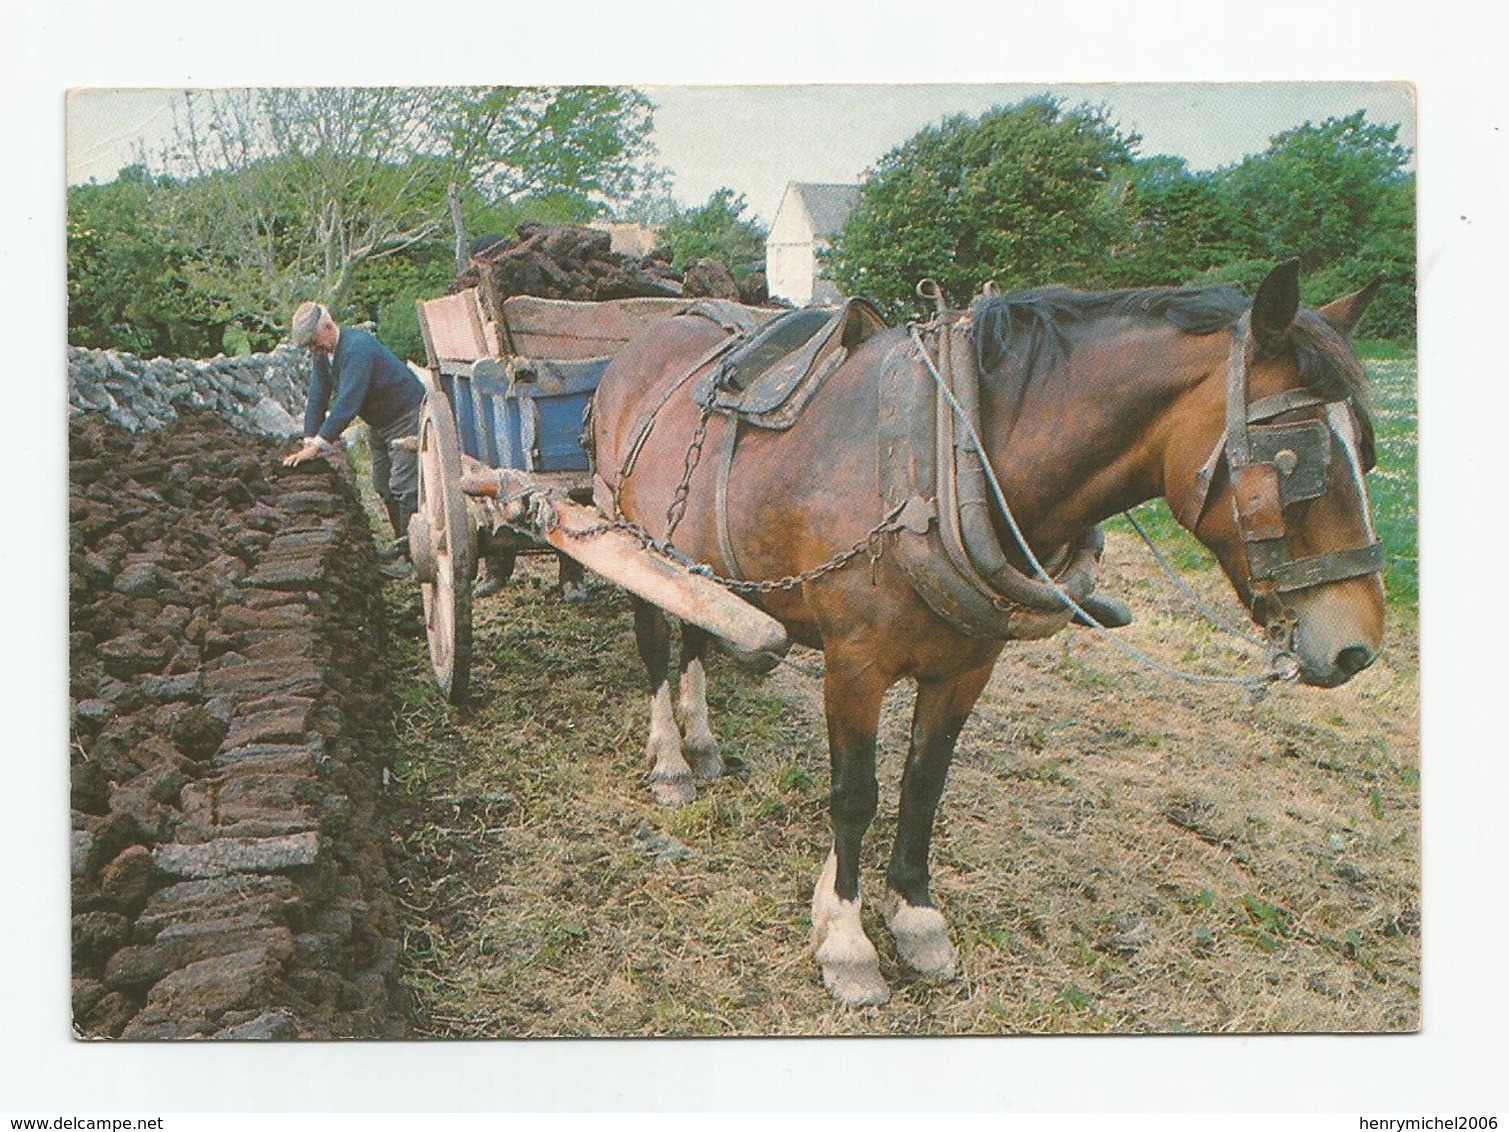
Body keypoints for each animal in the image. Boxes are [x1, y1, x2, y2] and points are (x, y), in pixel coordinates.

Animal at [582, 261, 1382, 1008]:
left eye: (1369, 452)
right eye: (1295, 459)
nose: (1357, 647)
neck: (944, 463)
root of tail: (642, 342)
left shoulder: (968, 666)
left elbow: (924, 784)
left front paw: (915, 918)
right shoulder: (854, 664)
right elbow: (856, 794)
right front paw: (846, 942)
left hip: (698, 558)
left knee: (697, 633)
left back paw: (701, 740)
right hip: (627, 533)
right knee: (657, 645)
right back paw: (670, 760)